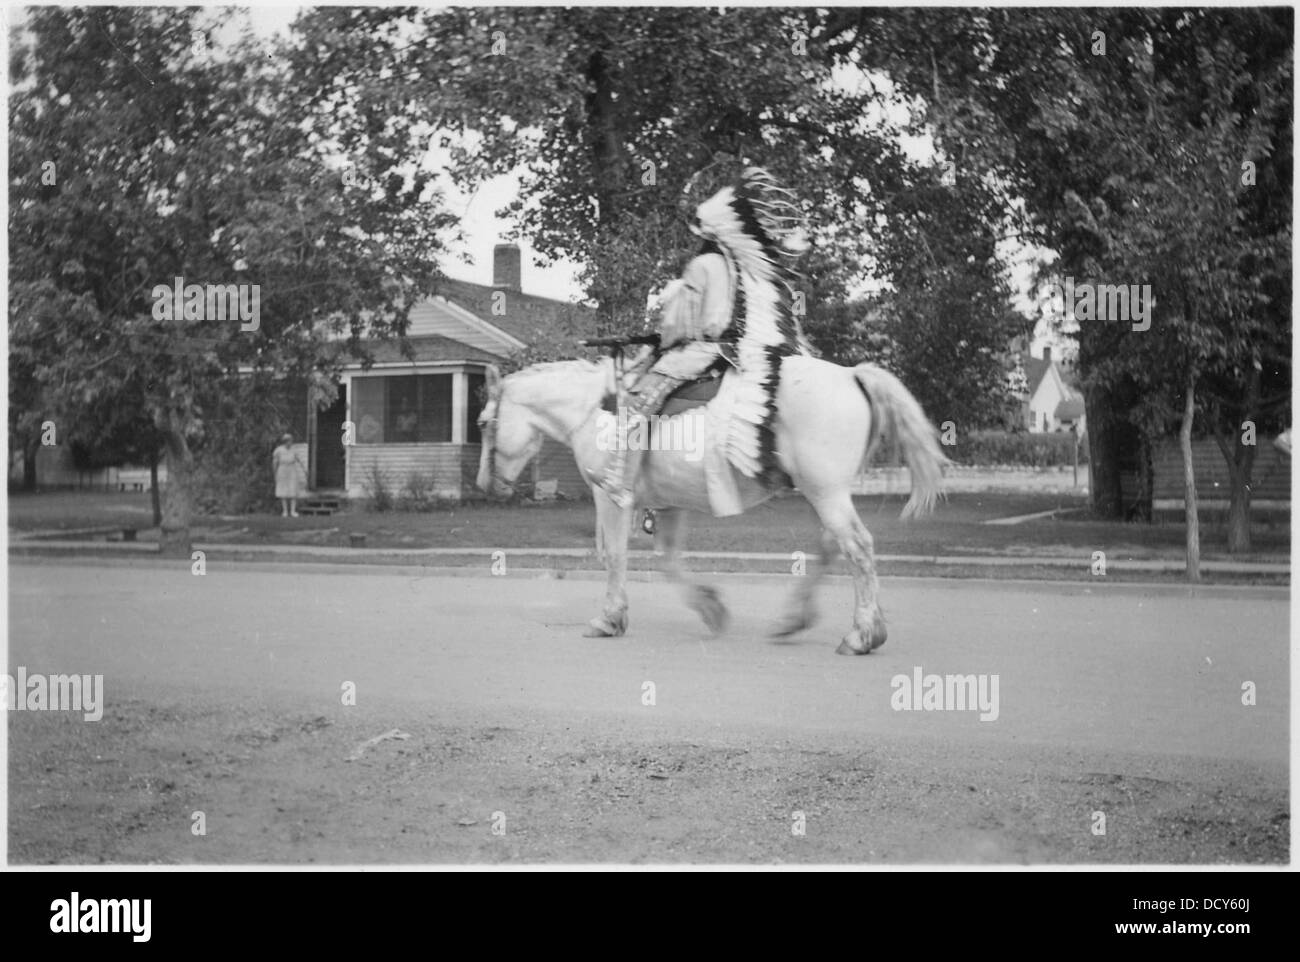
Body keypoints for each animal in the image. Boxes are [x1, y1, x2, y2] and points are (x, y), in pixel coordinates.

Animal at [475, 353, 946, 652]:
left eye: (482, 423)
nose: (484, 485)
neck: (596, 409)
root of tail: (851, 375)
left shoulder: (610, 496)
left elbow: (614, 556)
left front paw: (609, 619)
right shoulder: (669, 504)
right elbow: (669, 561)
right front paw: (711, 608)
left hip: (826, 491)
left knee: (859, 549)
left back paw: (862, 635)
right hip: (825, 492)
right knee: (834, 548)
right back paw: (795, 620)